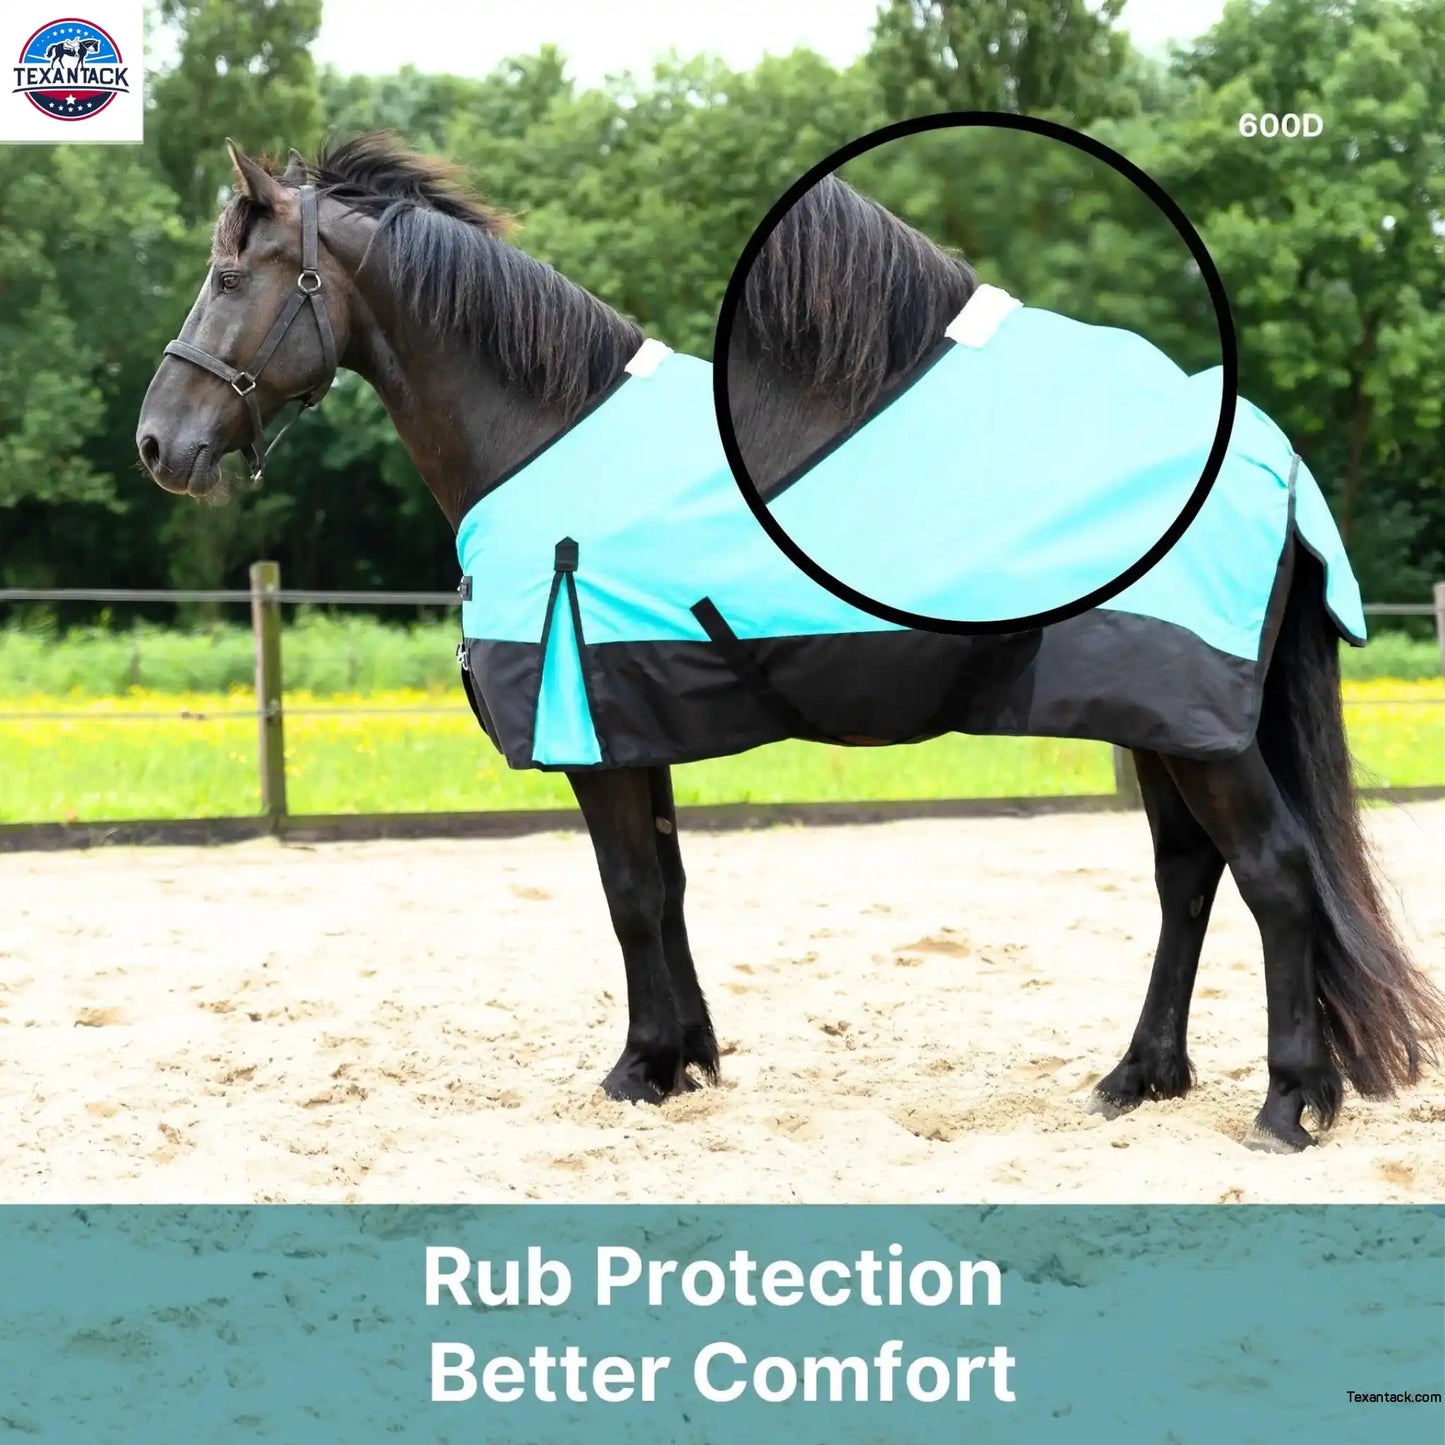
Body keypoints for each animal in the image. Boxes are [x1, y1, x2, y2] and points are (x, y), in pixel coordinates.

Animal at [136, 135, 1444, 1152]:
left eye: (226, 273)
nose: (159, 443)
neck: (543, 431)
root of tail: (1268, 454)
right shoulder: (633, 717)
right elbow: (663, 887)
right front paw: (686, 1059)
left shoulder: (592, 731)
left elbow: (626, 894)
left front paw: (637, 1068)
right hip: (1158, 717)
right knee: (1188, 877)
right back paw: (1136, 1079)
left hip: (1194, 725)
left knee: (1272, 873)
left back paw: (1286, 1105)